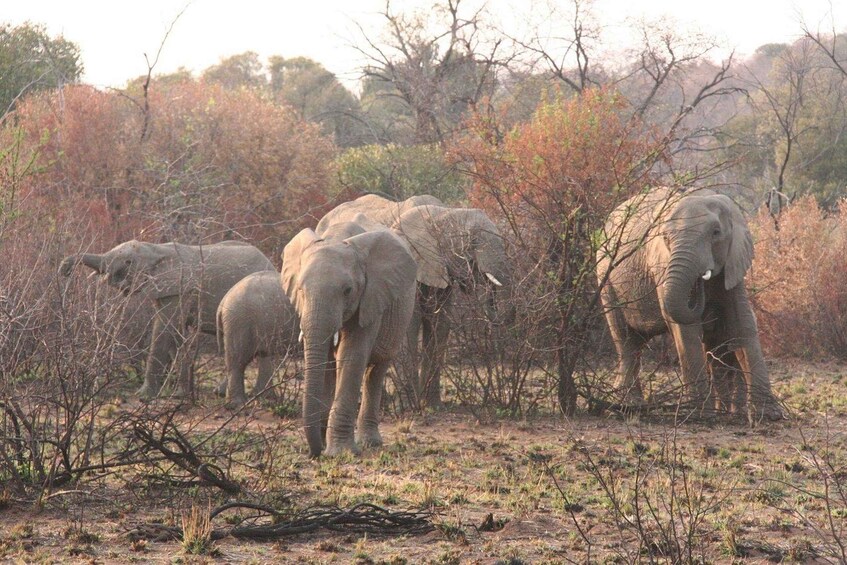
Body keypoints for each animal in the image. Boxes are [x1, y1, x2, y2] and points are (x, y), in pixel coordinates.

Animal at [59, 240, 274, 398]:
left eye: (128, 262)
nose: (64, 271)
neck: (156, 248)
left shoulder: (179, 289)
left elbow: (164, 331)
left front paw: (144, 396)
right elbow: (176, 335)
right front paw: (178, 394)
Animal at [281, 220, 417, 457]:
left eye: (347, 291)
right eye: (300, 290)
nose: (314, 453)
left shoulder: (371, 296)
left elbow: (351, 355)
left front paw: (340, 452)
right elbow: (326, 358)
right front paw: (325, 446)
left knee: (377, 369)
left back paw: (370, 443)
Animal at [391, 205, 514, 408]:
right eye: (471, 242)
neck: (441, 215)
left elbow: (441, 326)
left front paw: (433, 406)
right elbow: (409, 326)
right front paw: (412, 406)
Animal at [595, 187, 783, 422]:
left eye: (716, 233)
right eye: (666, 237)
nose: (700, 283)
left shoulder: (734, 262)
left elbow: (742, 323)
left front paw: (769, 416)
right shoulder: (662, 263)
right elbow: (684, 327)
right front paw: (697, 414)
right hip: (606, 278)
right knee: (626, 339)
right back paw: (628, 407)